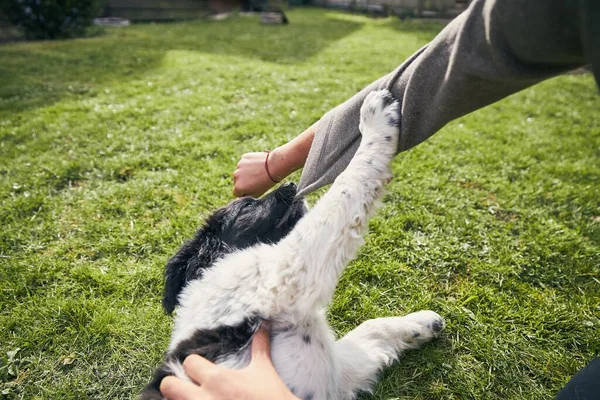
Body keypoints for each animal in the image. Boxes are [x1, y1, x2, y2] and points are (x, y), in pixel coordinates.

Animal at [143, 90, 446, 400]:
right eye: (248, 205)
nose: (290, 185)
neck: (219, 265)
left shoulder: (337, 374)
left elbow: (371, 328)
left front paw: (422, 322)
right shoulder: (289, 268)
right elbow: (347, 183)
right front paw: (375, 119)